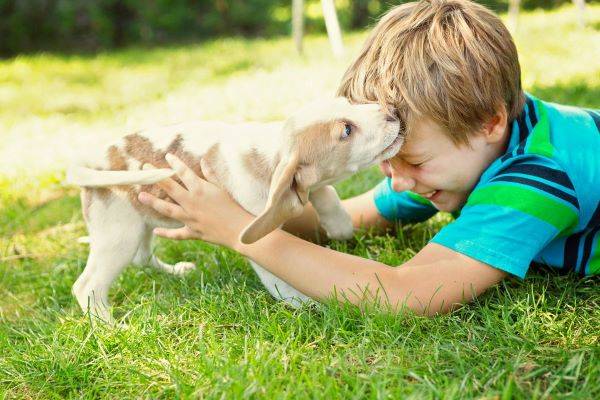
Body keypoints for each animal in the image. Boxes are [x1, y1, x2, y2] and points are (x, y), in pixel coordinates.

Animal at [67, 98, 404, 324]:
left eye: (350, 102)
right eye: (346, 130)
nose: (393, 111)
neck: (269, 152)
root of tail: (93, 162)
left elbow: (325, 192)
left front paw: (339, 225)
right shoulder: (263, 241)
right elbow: (281, 282)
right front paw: (310, 306)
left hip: (140, 223)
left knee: (142, 258)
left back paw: (175, 271)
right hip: (118, 234)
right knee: (87, 286)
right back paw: (110, 327)